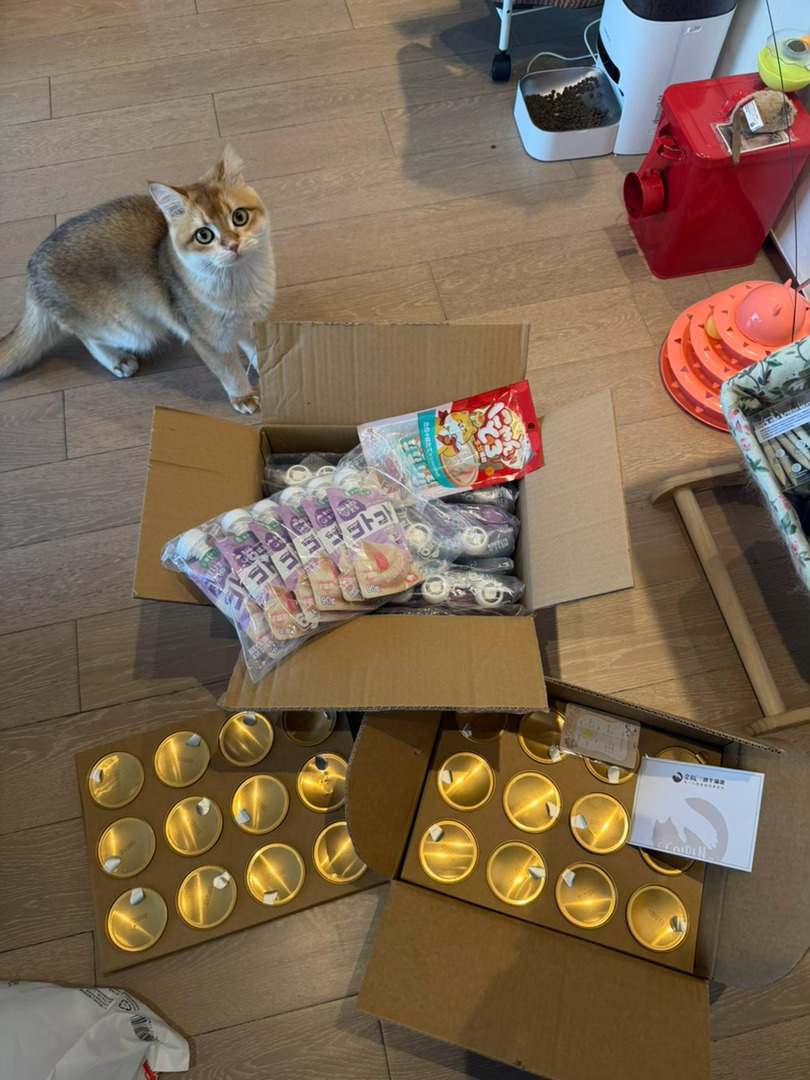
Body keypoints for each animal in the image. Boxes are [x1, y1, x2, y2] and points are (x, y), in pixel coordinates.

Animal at [0, 145, 274, 413]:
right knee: (85, 336)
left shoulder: (251, 321)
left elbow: (256, 348)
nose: (232, 244)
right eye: (204, 235)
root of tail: (31, 270)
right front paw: (243, 396)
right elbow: (229, 372)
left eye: (239, 217)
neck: (241, 283)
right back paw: (117, 360)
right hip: (130, 329)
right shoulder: (207, 340)